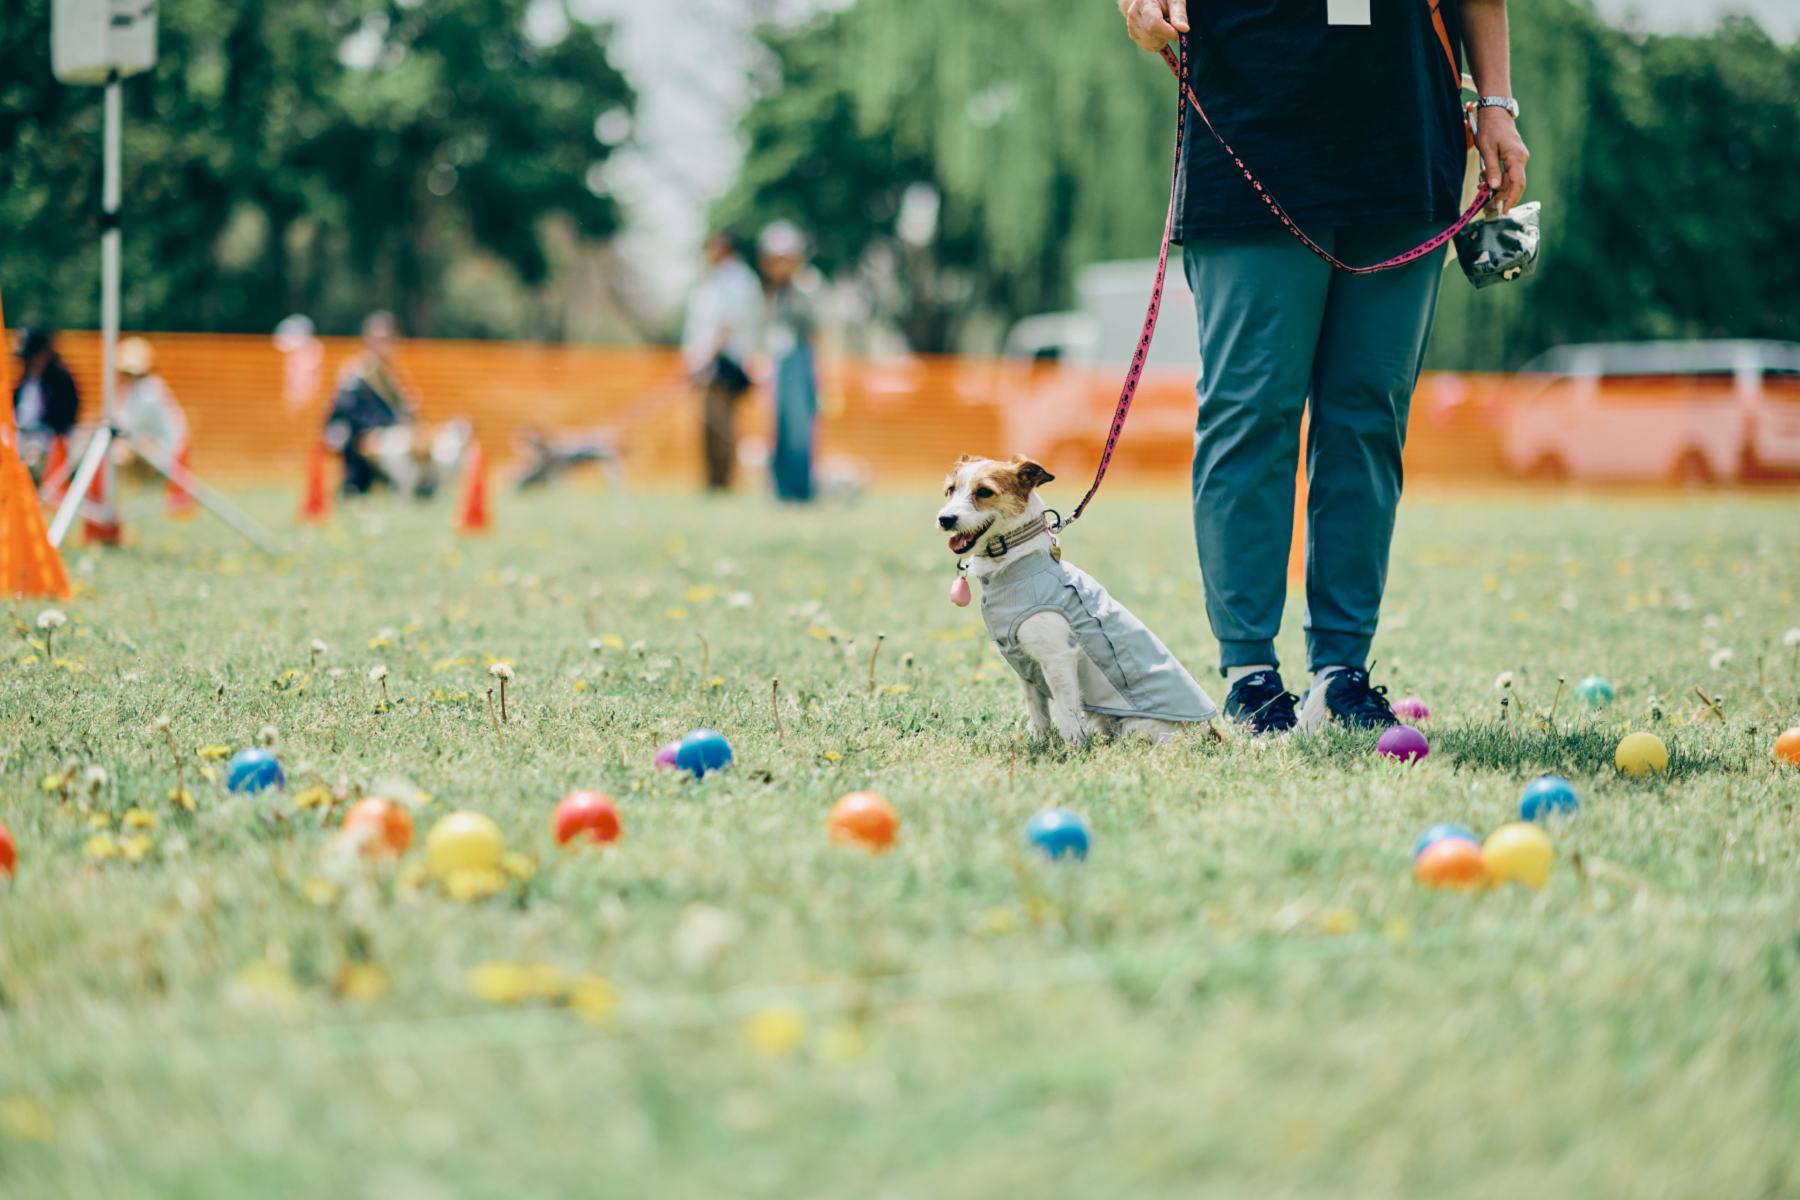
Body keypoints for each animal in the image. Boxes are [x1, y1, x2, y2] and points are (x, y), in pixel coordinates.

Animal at [936, 455, 1216, 744]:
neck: (1015, 563)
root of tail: (1210, 731)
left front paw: (1071, 750)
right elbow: (1039, 715)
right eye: (950, 490)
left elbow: (1067, 716)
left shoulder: (1057, 659)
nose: (945, 519)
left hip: (1137, 727)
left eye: (984, 492)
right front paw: (1040, 744)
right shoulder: (1025, 665)